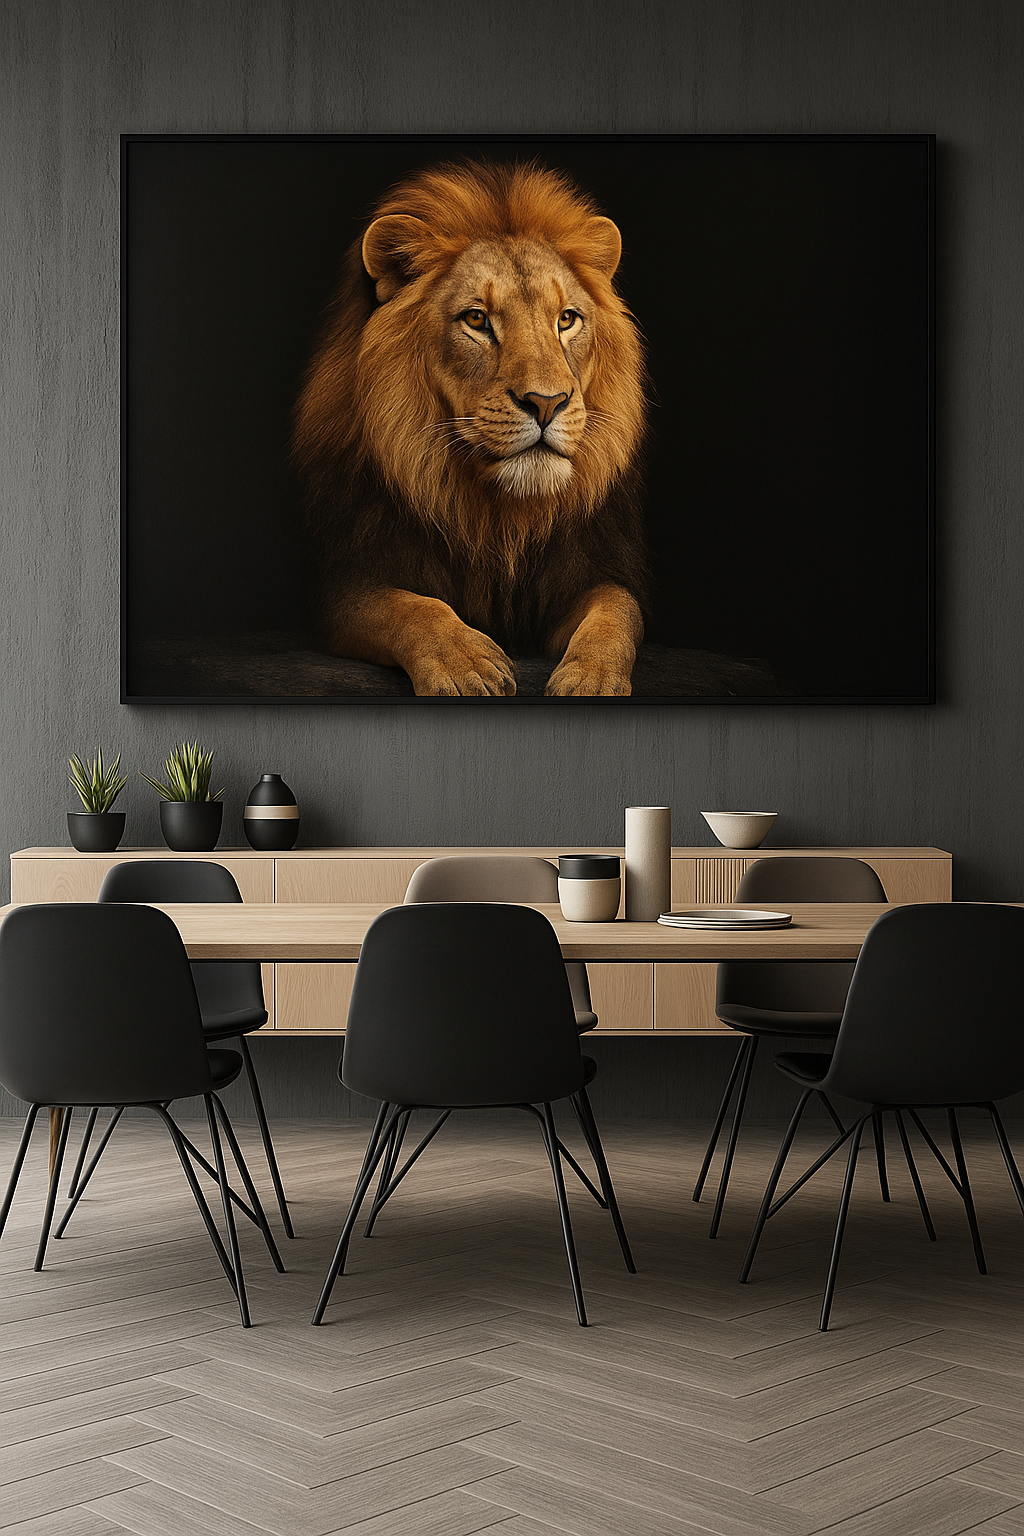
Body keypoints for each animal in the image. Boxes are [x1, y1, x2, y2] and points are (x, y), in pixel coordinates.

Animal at [292, 159, 649, 696]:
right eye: (477, 319)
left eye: (567, 319)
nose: (547, 403)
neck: (498, 515)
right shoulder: (345, 583)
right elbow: (410, 607)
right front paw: (466, 665)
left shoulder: (585, 572)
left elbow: (618, 610)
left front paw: (593, 678)